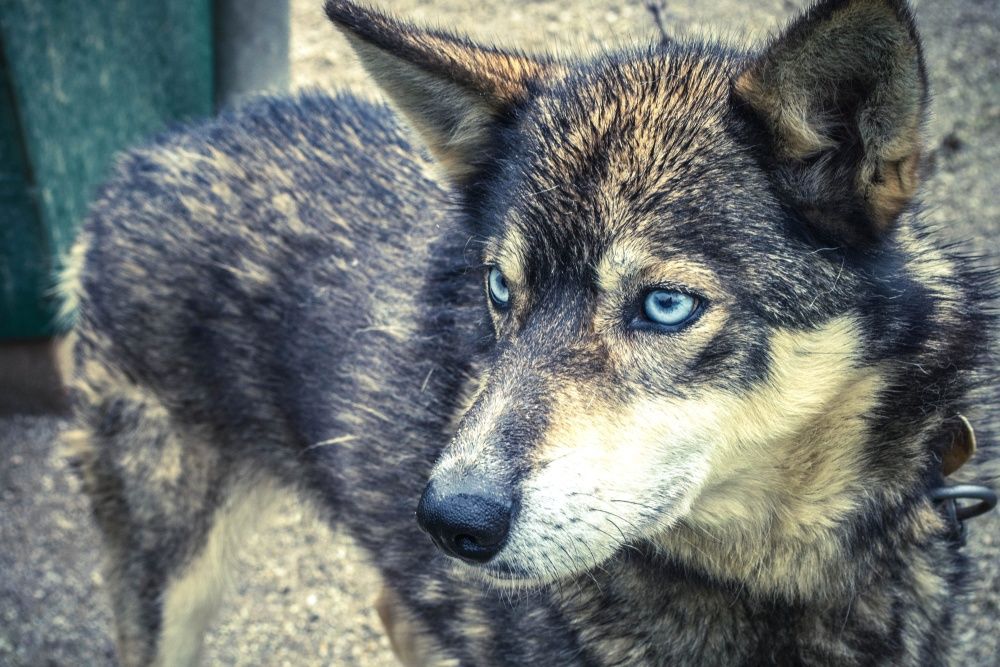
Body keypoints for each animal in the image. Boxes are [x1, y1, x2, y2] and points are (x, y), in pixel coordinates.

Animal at [60, 0, 992, 664]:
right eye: (500, 289)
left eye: (664, 305)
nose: (451, 520)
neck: (778, 583)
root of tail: (150, 154)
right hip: (169, 577)